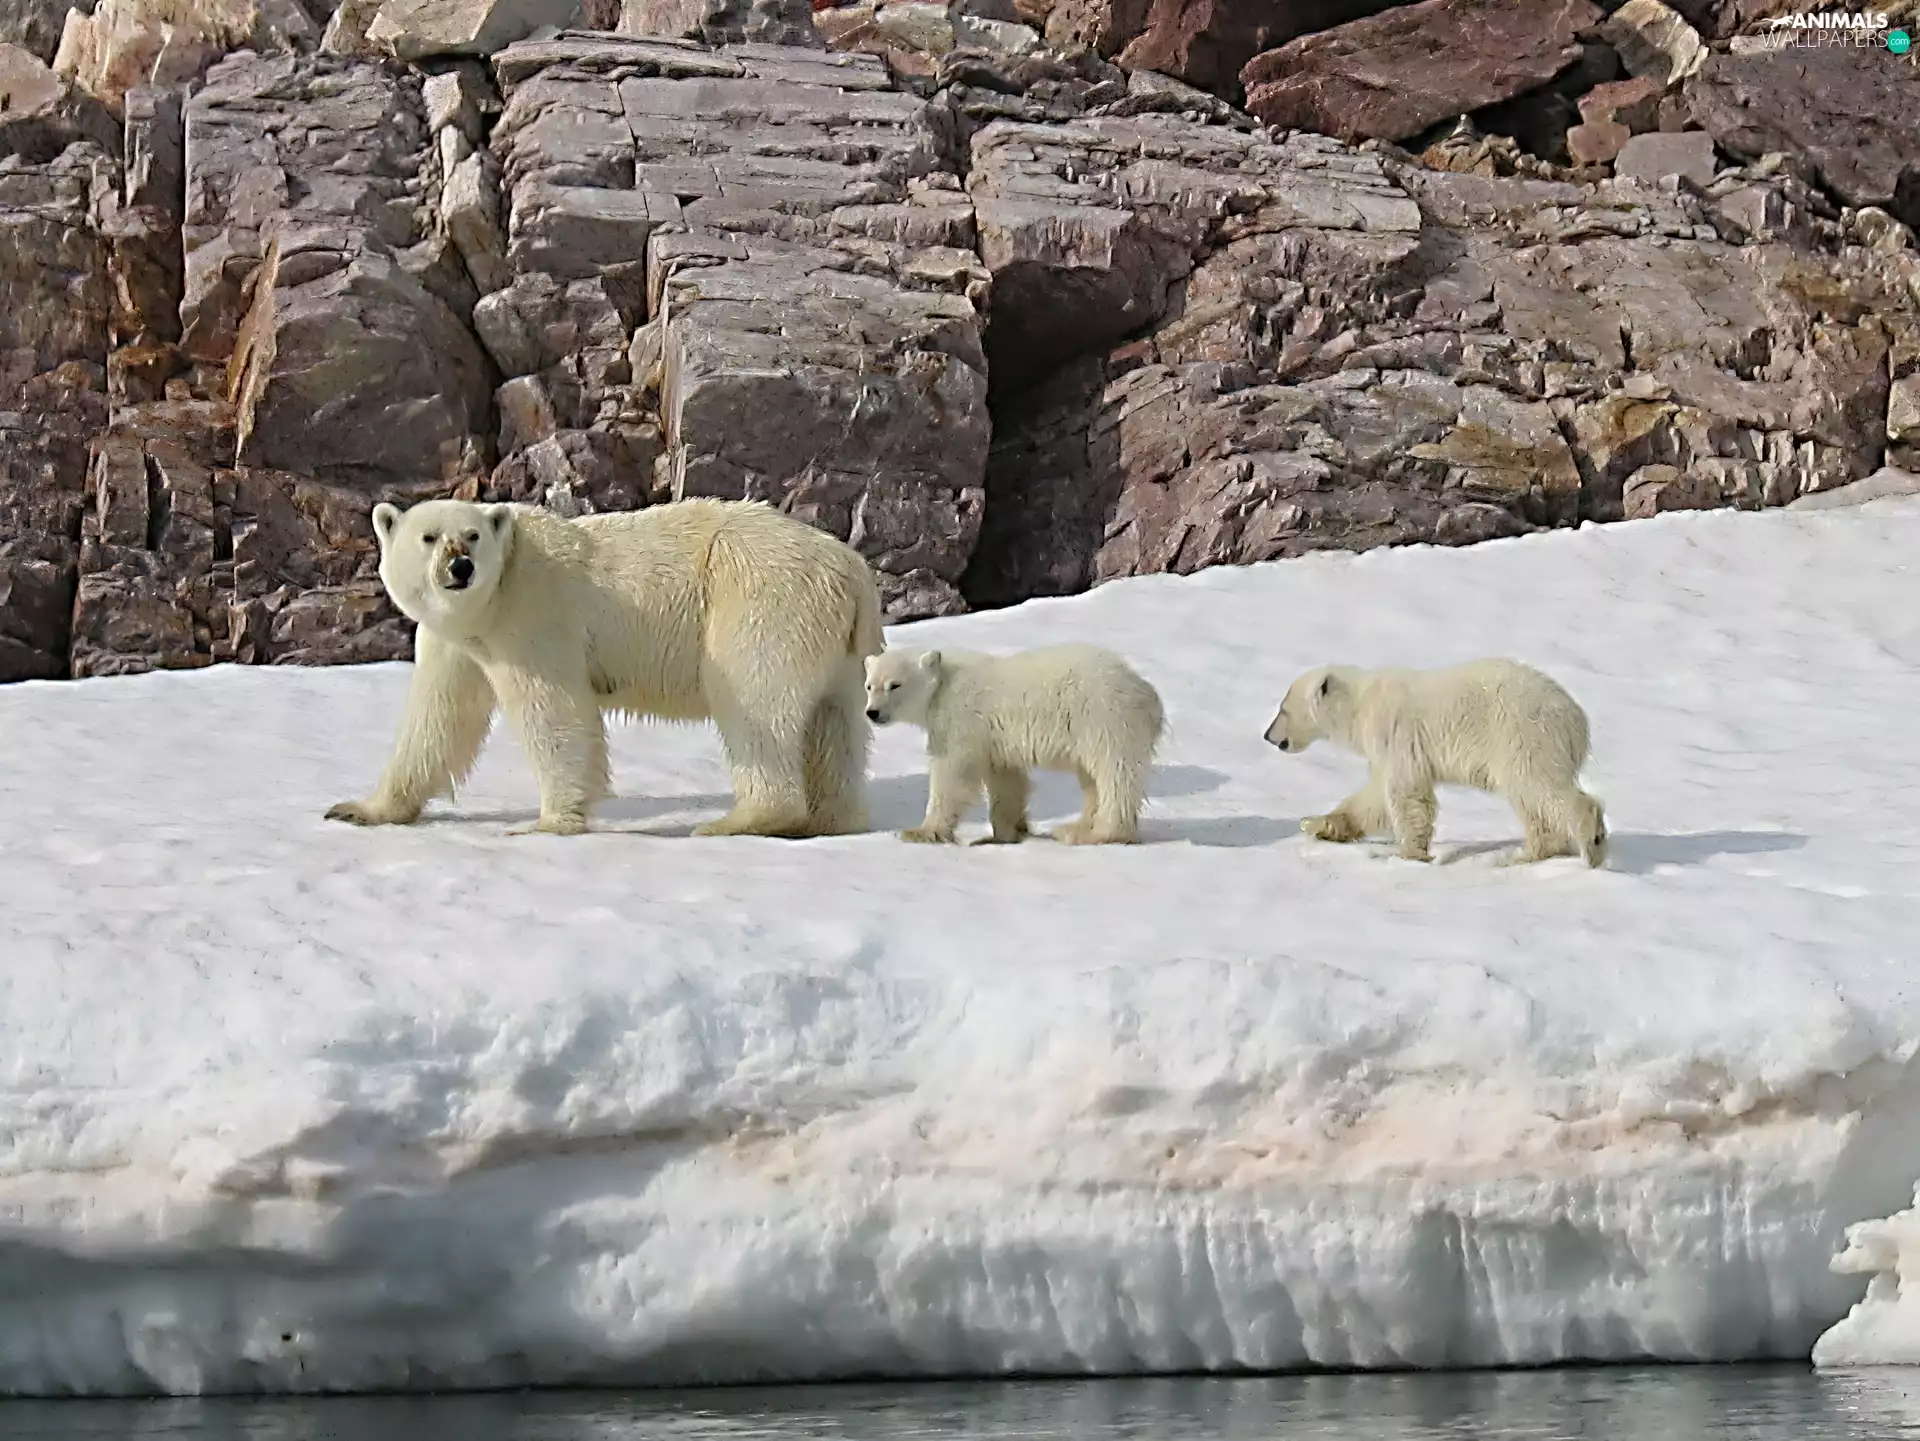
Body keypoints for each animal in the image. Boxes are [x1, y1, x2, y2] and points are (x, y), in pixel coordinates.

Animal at [325, 496, 885, 839]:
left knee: (756, 702)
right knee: (833, 728)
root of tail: (853, 569)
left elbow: (555, 711)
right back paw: (832, 820)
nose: (459, 567)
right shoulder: (456, 641)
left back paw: (739, 820)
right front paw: (357, 809)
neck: (492, 601)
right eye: (428, 537)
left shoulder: (533, 614)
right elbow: (439, 718)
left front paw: (546, 823)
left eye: (473, 535)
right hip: (836, 646)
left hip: (760, 598)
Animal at [863, 644, 1165, 846]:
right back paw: (1075, 826)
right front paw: (1005, 834)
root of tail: (1147, 692)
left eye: (894, 685)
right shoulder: (996, 741)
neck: (943, 684)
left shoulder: (961, 721)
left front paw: (919, 832)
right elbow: (1006, 780)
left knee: (1113, 775)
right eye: (869, 685)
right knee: (1092, 780)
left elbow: (951, 773)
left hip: (1104, 720)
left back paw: (1097, 833)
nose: (872, 713)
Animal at [1263, 658, 1608, 868]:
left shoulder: (1396, 733)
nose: (1267, 735)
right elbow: (1374, 797)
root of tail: (1577, 720)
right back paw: (1527, 854)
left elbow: (1406, 794)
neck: (1360, 704)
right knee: (1531, 802)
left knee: (1541, 786)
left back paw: (1590, 843)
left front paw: (1408, 855)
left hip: (1523, 735)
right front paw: (1317, 824)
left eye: (1282, 709)